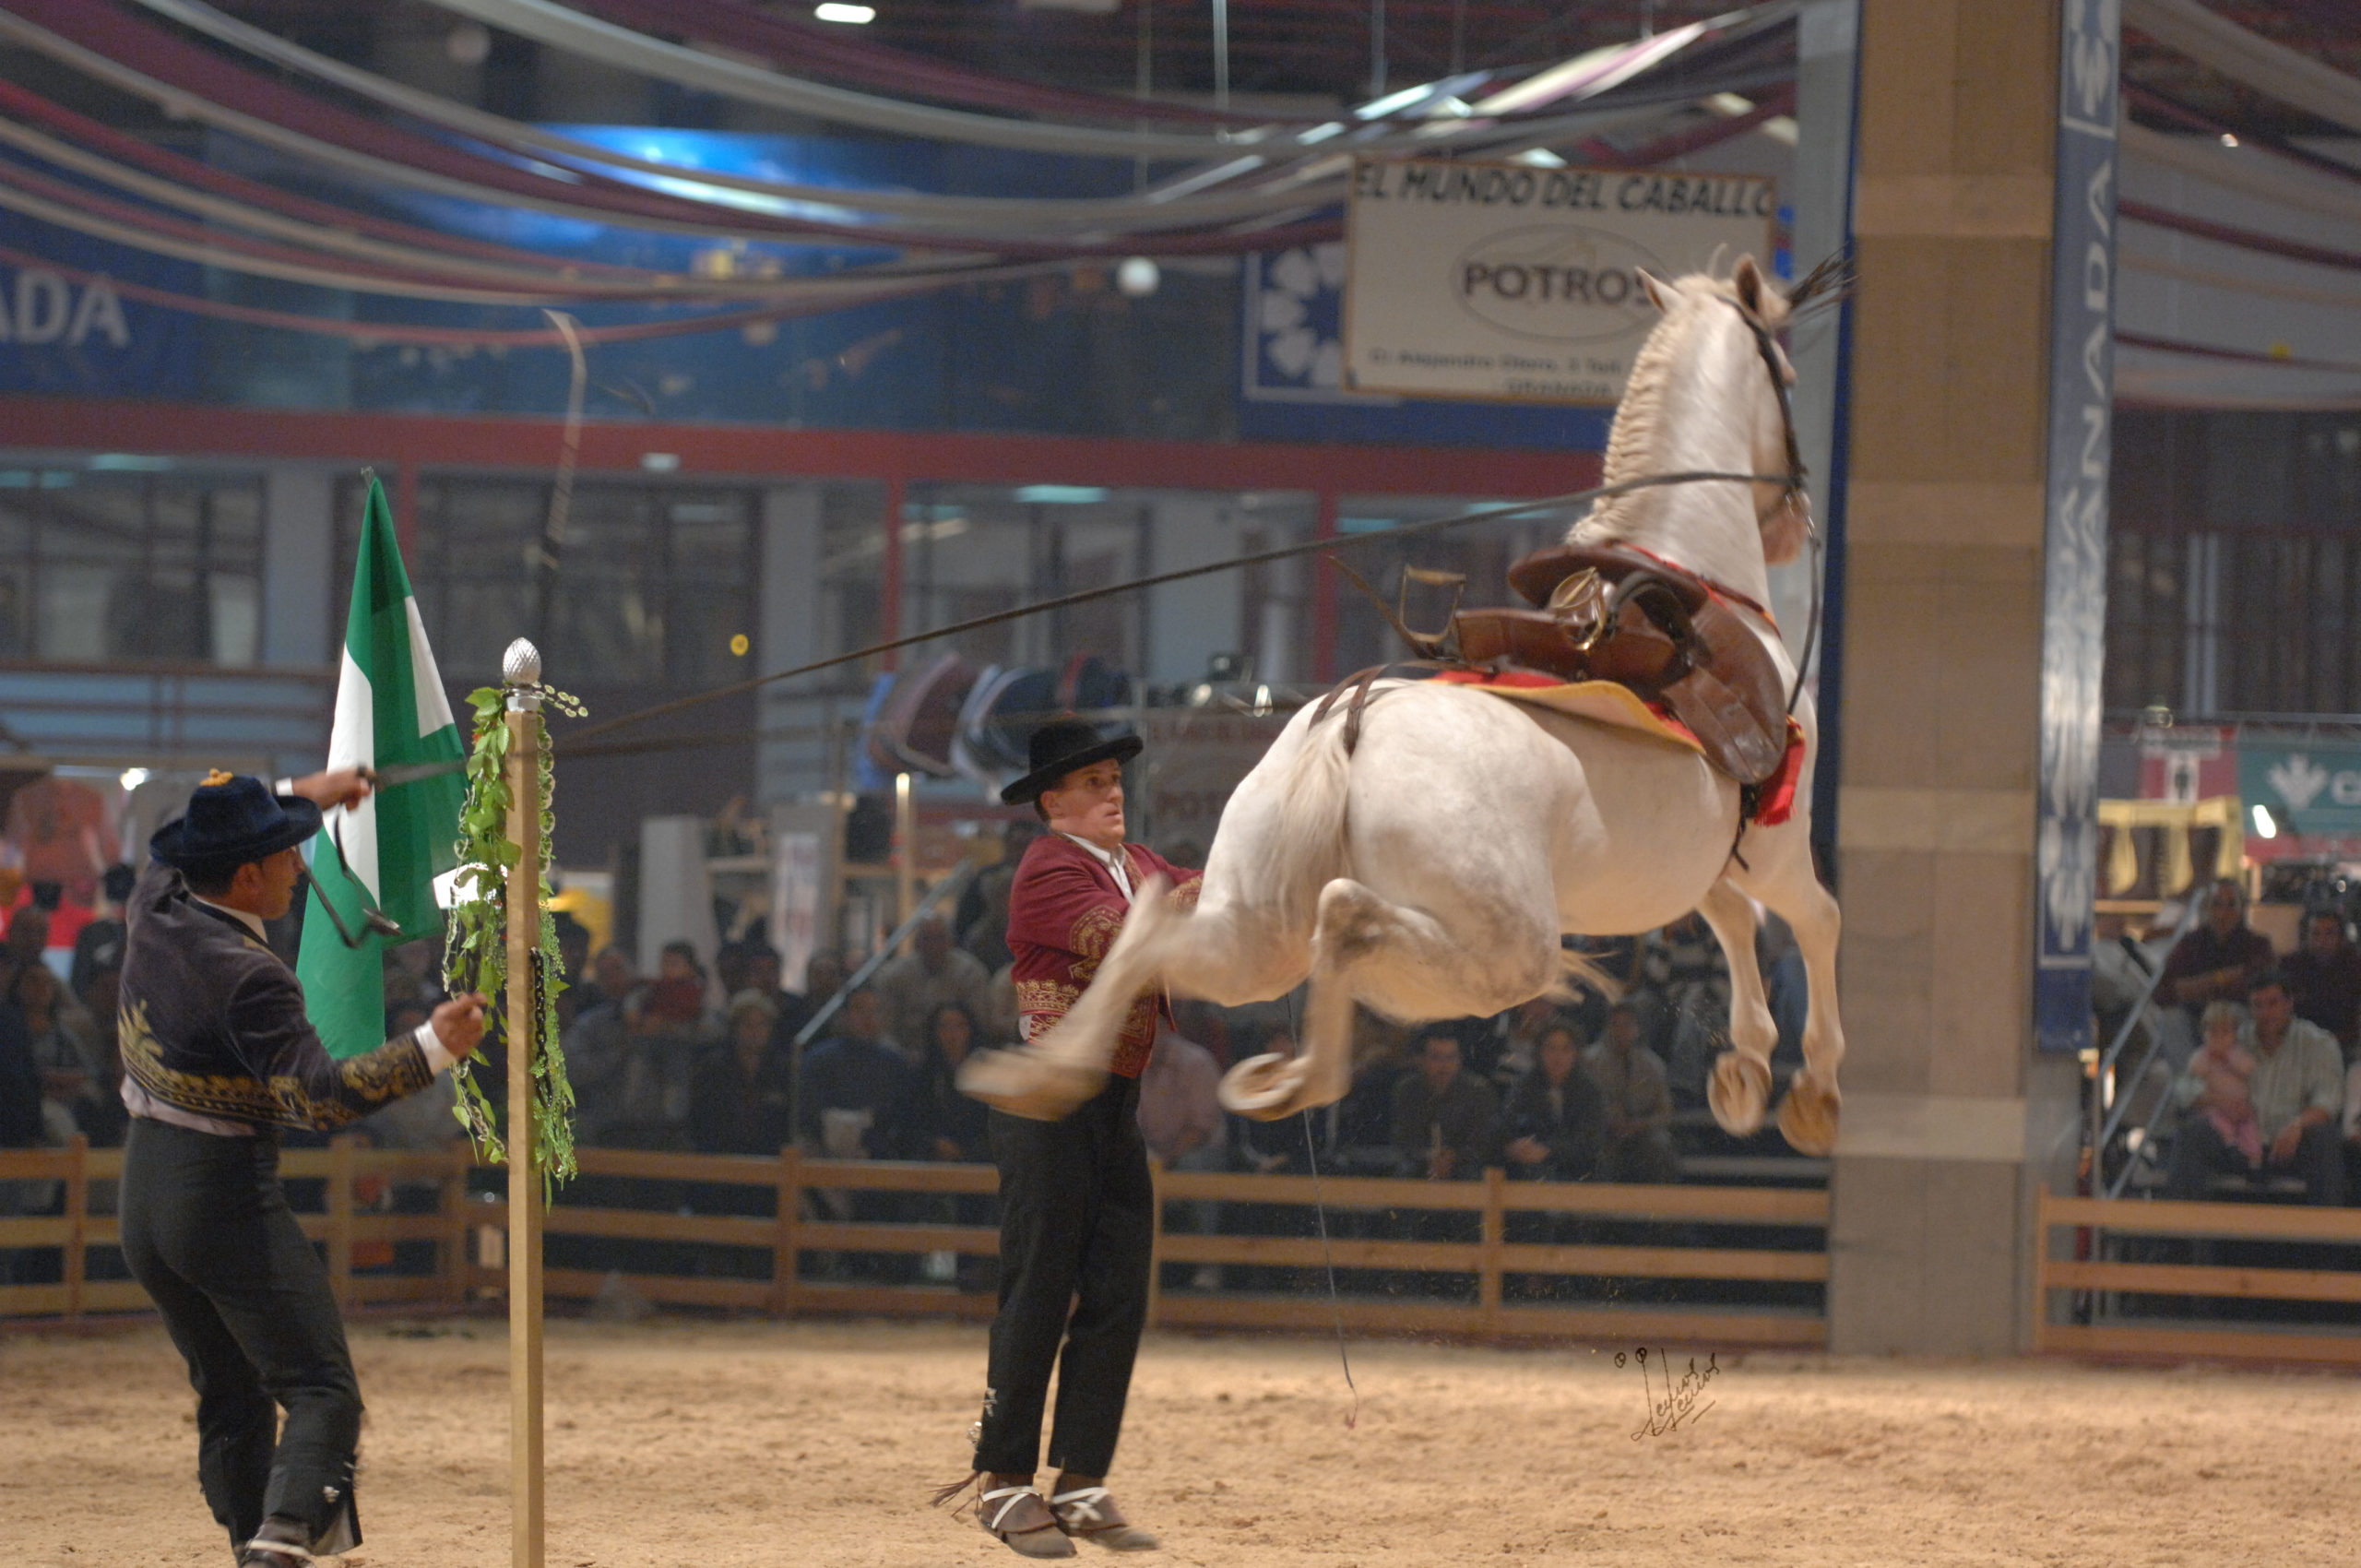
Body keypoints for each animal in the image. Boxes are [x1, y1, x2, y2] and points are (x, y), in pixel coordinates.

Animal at [958, 257, 1841, 1157]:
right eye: (1788, 373)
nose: (1795, 521)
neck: (1693, 582)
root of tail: (1350, 728)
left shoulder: (1710, 863)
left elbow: (1734, 919)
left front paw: (1746, 1070)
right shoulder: (1776, 845)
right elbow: (1817, 920)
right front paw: (1809, 1088)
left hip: (1252, 939)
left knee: (1153, 933)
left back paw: (1053, 1076)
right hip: (1498, 955)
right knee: (1346, 923)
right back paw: (1295, 1074)